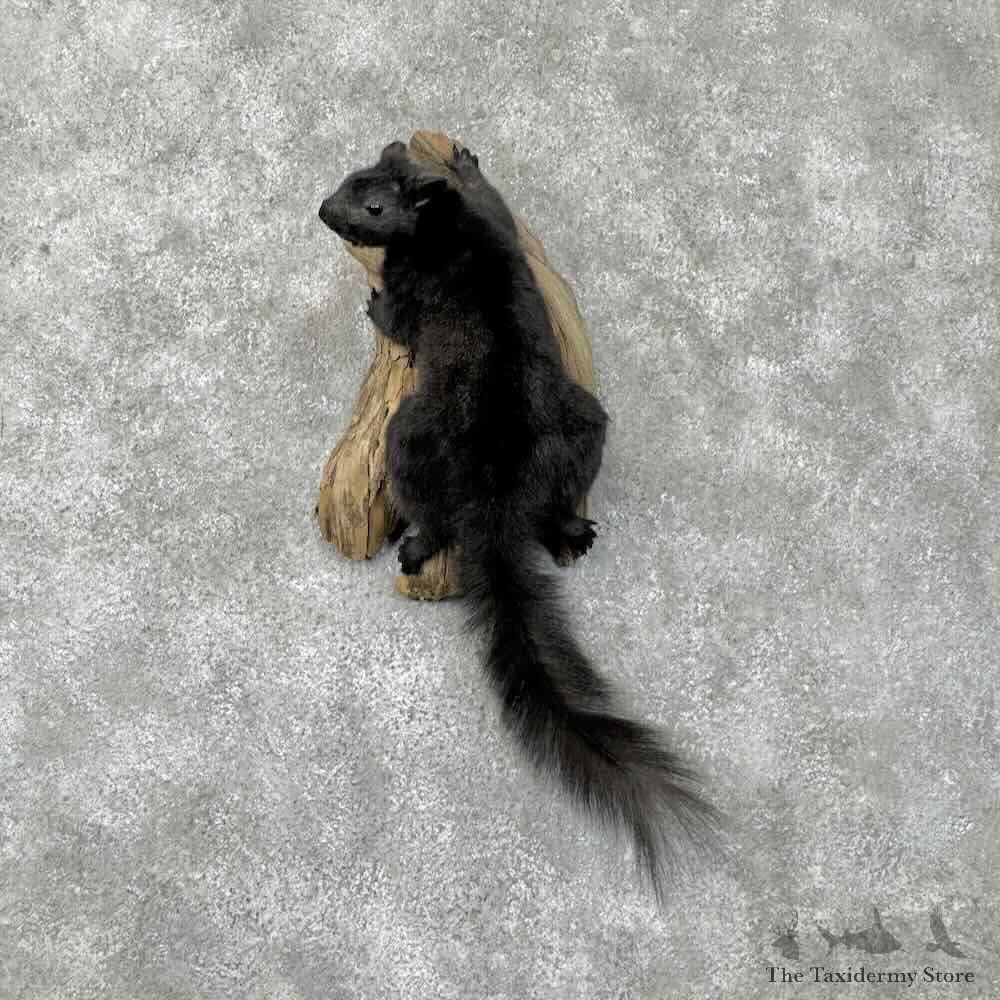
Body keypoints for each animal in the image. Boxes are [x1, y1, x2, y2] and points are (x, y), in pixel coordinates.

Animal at [318, 141, 719, 898]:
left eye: (374, 205)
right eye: (349, 176)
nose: (324, 210)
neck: (445, 227)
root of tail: (496, 500)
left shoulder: (418, 290)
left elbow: (395, 318)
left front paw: (372, 298)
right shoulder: (494, 220)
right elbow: (493, 195)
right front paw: (471, 161)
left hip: (409, 433)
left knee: (433, 514)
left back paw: (419, 545)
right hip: (581, 426)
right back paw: (572, 531)